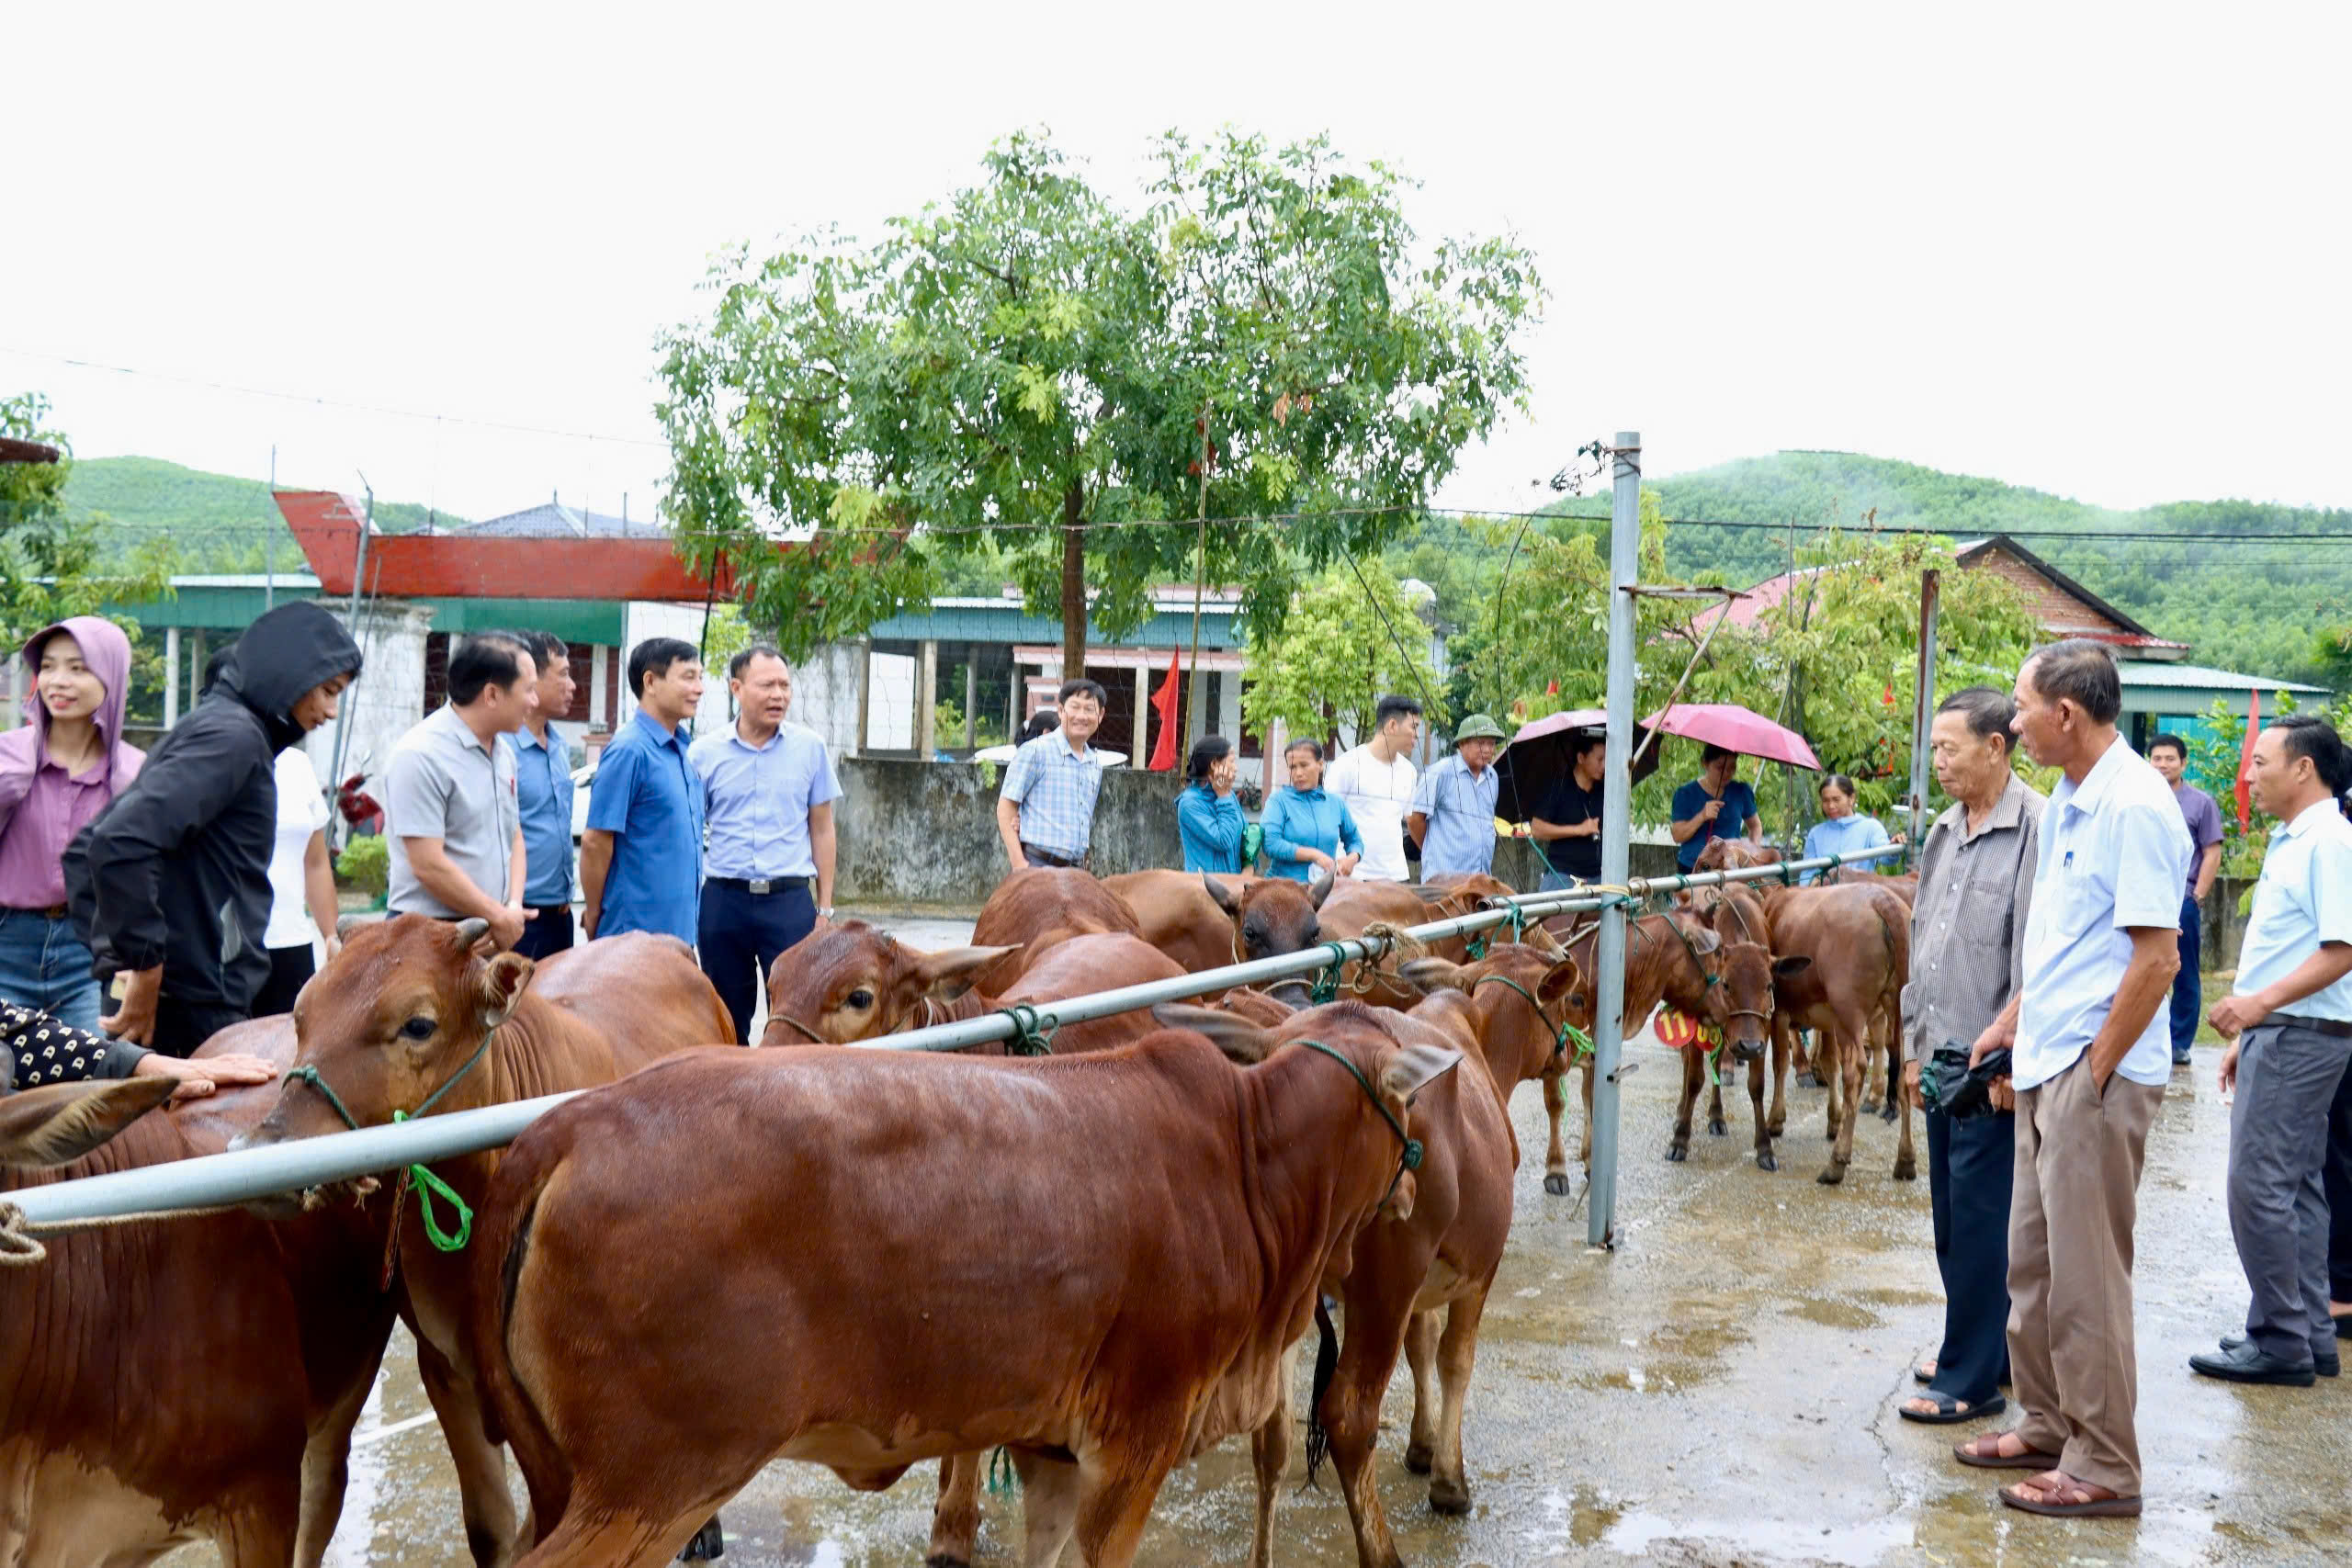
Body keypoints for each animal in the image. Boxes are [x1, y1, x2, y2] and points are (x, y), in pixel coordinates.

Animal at [460, 1010, 1458, 1561]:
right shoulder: (1133, 1443)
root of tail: (571, 1125)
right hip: (650, 1488)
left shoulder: (1054, 1451)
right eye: (1408, 1102)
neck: (1250, 1159)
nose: (1414, 1186)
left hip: (578, 1481)